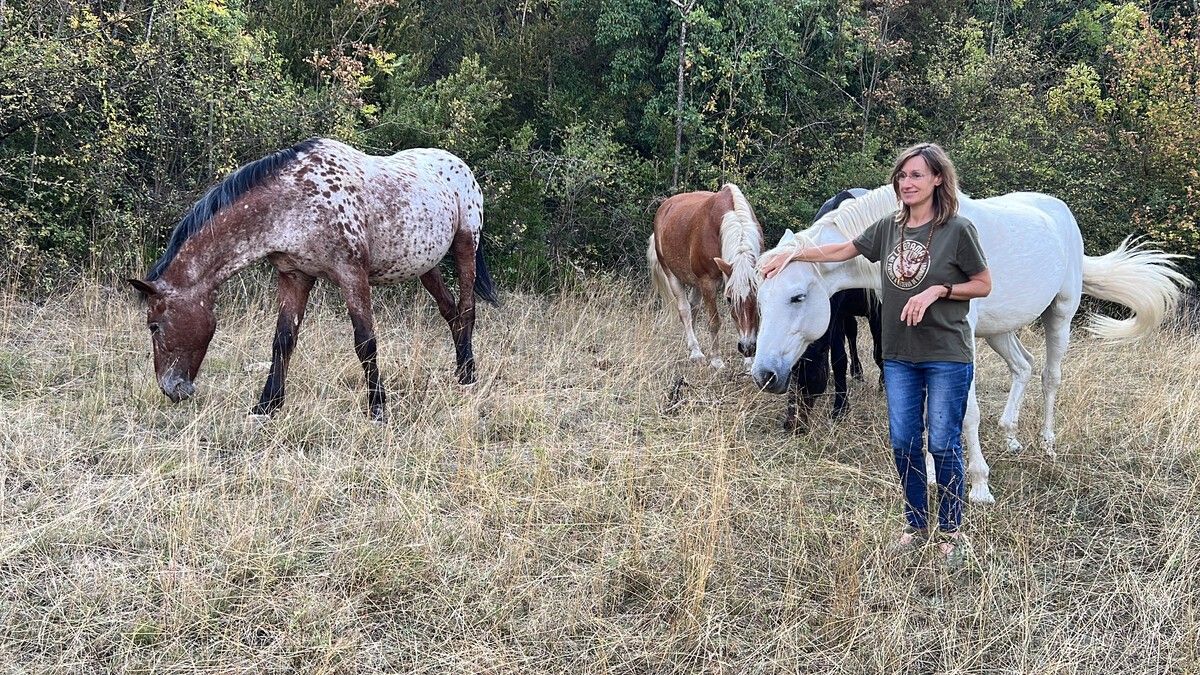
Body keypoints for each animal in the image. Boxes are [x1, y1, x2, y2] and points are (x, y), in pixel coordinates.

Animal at [130, 138, 501, 420]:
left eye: (154, 325)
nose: (172, 389)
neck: (295, 202)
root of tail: (459, 164)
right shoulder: (295, 276)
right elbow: (283, 341)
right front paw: (267, 405)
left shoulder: (352, 275)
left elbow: (365, 342)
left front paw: (377, 407)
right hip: (426, 265)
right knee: (451, 313)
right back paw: (460, 370)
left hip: (465, 246)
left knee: (467, 310)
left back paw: (469, 376)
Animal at [652, 181, 763, 365]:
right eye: (729, 299)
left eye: (757, 297)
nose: (747, 348)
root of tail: (665, 206)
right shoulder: (708, 283)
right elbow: (714, 321)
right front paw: (716, 360)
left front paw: (749, 362)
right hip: (673, 275)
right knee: (685, 310)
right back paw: (695, 351)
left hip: (696, 283)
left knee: (693, 308)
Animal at [787, 187, 883, 429]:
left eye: (805, 370)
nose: (791, 423)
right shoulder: (837, 315)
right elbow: (839, 358)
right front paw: (840, 407)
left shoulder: (878, 311)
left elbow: (880, 352)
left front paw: (884, 384)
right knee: (852, 335)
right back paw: (857, 372)